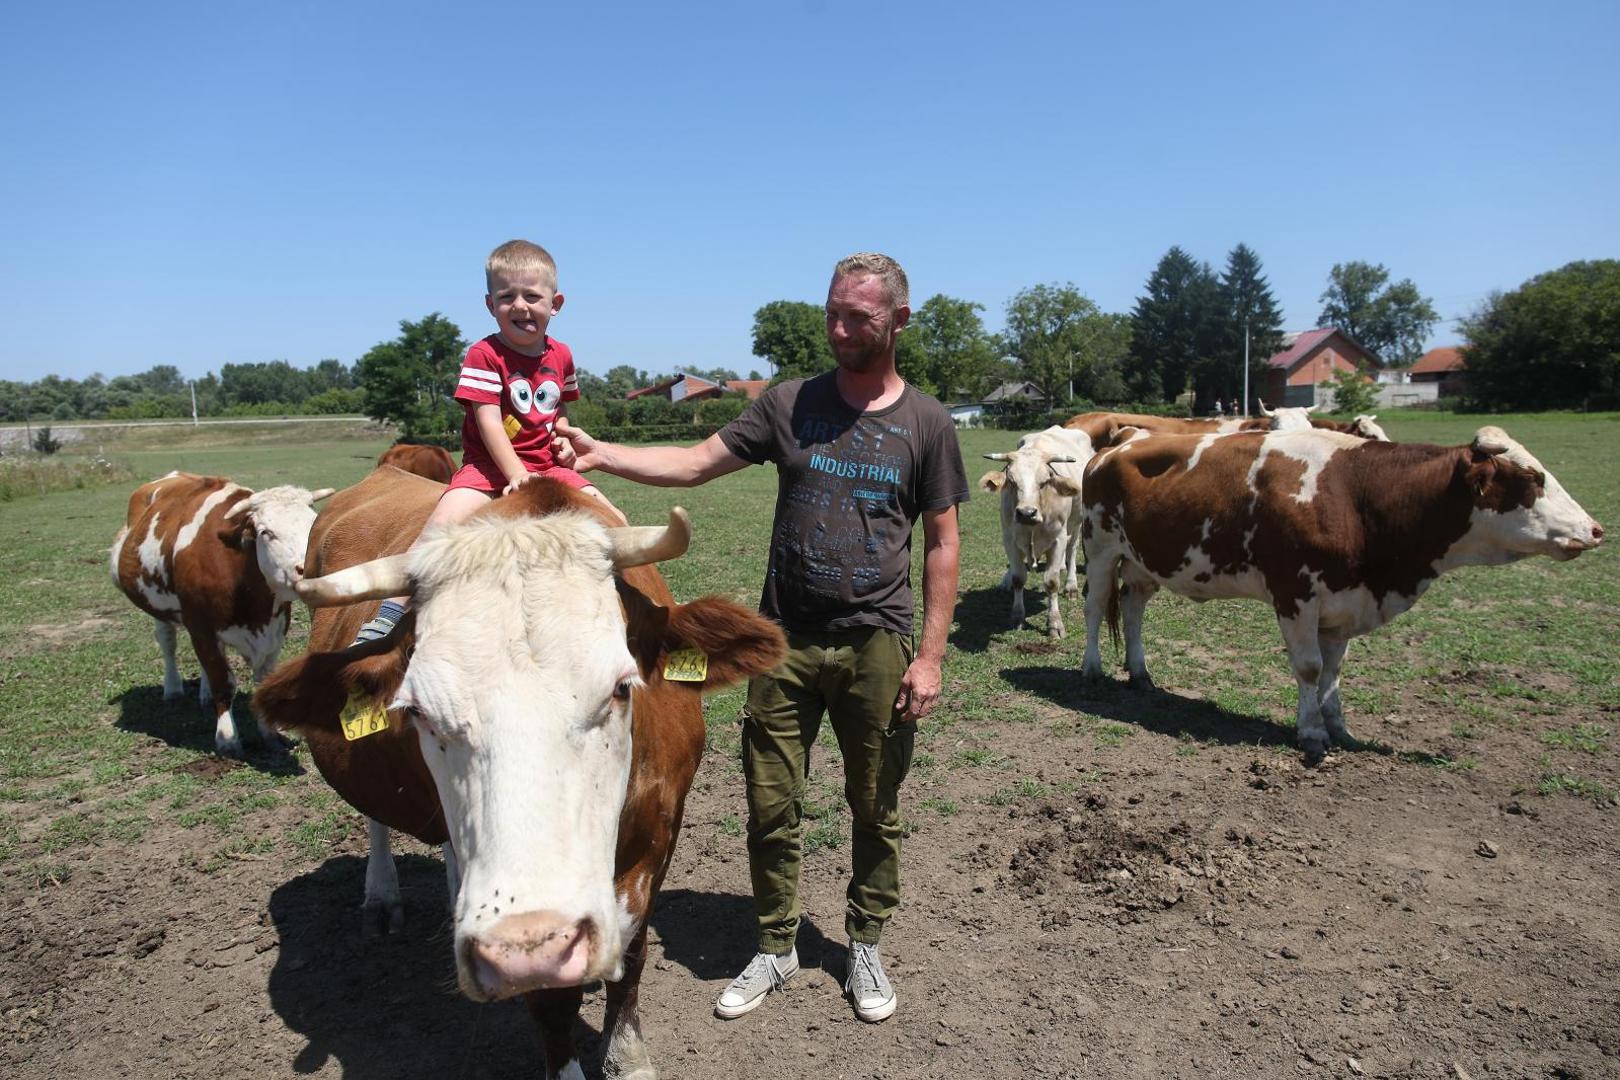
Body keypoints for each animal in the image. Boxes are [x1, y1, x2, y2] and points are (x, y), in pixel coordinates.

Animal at [110, 472, 332, 761]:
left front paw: (270, 733)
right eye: (266, 533)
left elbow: (261, 680)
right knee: (168, 642)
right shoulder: (202, 628)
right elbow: (222, 681)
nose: (308, 568)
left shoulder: (276, 629)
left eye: (312, 525)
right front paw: (227, 738)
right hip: (160, 607)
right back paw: (173, 688)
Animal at [254, 469, 784, 1080]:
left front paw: (628, 1057)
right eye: (417, 711)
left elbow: (631, 954)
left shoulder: (659, 834)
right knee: (378, 822)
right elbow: (551, 1001)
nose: (521, 945)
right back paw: (382, 896)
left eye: (622, 687)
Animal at [978, 427, 1095, 637]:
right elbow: (1018, 578)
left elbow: (1051, 582)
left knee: (1072, 551)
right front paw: (1017, 616)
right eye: (1011, 481)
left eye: (1045, 481)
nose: (1026, 513)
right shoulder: (1009, 539)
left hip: (1076, 523)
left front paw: (1055, 623)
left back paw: (1071, 585)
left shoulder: (1058, 539)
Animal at [1082, 427, 1600, 764]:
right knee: (1094, 608)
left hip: (1146, 562)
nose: (1595, 529)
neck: (1358, 496)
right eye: (1532, 480)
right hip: (1101, 548)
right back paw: (1092, 669)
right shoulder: (1295, 593)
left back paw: (1141, 673)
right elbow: (1310, 667)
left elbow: (1333, 671)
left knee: (1133, 608)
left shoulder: (1344, 600)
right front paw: (1311, 733)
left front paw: (1340, 728)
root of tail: (1120, 440)